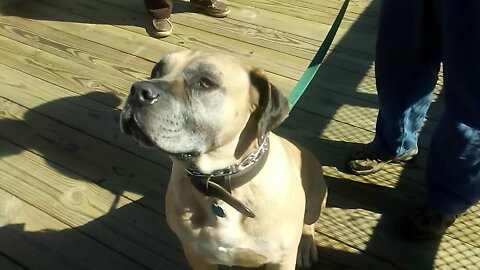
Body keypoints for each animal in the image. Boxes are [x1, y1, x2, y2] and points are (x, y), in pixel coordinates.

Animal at [122, 50, 328, 270]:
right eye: (156, 71)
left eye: (205, 83)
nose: (138, 90)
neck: (221, 179)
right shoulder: (197, 255)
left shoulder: (281, 260)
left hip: (315, 202)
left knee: (309, 224)